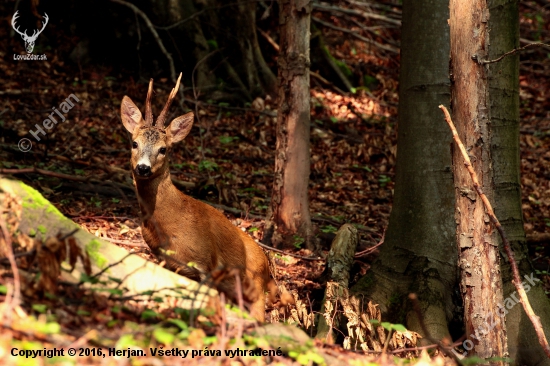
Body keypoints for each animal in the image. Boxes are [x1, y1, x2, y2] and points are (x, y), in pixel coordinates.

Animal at [122, 74, 274, 320]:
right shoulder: (167, 262)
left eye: (163, 149)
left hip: (255, 286)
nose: (143, 168)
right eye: (134, 143)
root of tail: (267, 264)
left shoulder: (207, 265)